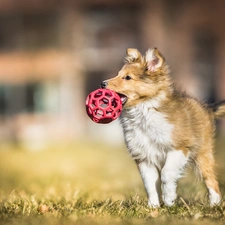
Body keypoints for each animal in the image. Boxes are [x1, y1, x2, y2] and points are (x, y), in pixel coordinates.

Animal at [100, 47, 225, 207]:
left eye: (127, 77)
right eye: (118, 74)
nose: (102, 84)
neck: (144, 111)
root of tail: (207, 108)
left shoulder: (179, 148)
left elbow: (167, 173)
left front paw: (169, 200)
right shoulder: (144, 156)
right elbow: (149, 184)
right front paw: (153, 206)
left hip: (202, 154)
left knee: (211, 180)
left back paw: (214, 204)